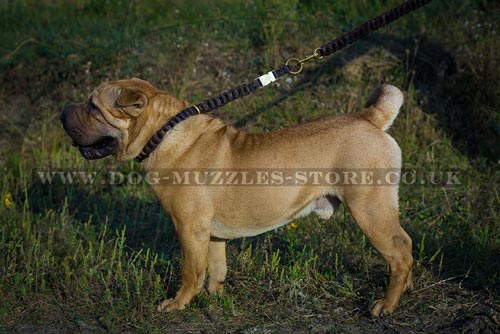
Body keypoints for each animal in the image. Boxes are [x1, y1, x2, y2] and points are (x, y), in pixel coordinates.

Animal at [61, 77, 414, 316]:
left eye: (93, 106)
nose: (63, 110)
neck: (163, 134)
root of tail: (370, 118)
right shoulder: (212, 234)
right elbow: (216, 267)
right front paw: (214, 297)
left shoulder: (189, 228)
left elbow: (191, 271)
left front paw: (177, 304)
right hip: (380, 209)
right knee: (406, 244)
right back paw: (405, 289)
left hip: (369, 210)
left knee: (398, 253)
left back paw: (385, 305)